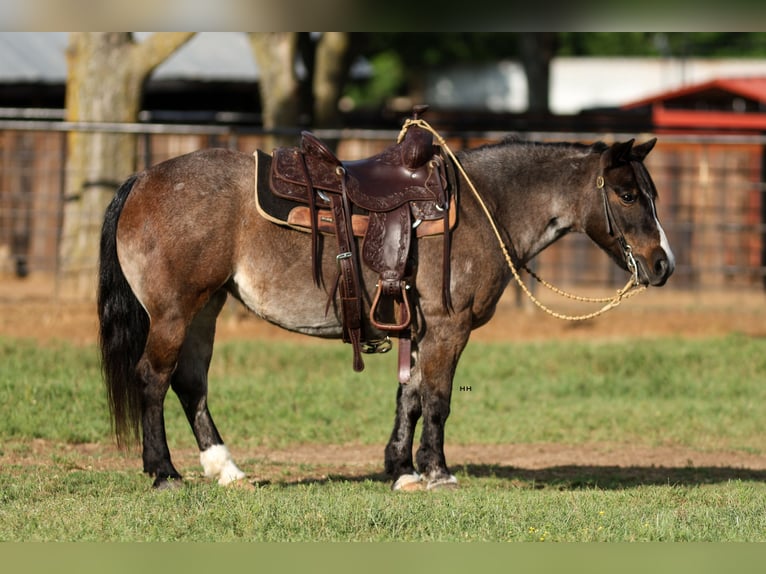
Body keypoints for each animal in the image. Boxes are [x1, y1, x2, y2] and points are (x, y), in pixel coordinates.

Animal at [99, 134, 676, 490]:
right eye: (627, 194)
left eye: (650, 192)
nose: (663, 264)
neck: (484, 205)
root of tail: (143, 178)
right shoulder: (447, 328)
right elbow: (437, 401)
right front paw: (438, 472)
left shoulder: (419, 330)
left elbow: (411, 398)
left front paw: (401, 468)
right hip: (175, 312)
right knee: (153, 378)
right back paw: (164, 471)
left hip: (206, 309)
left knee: (190, 384)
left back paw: (225, 469)